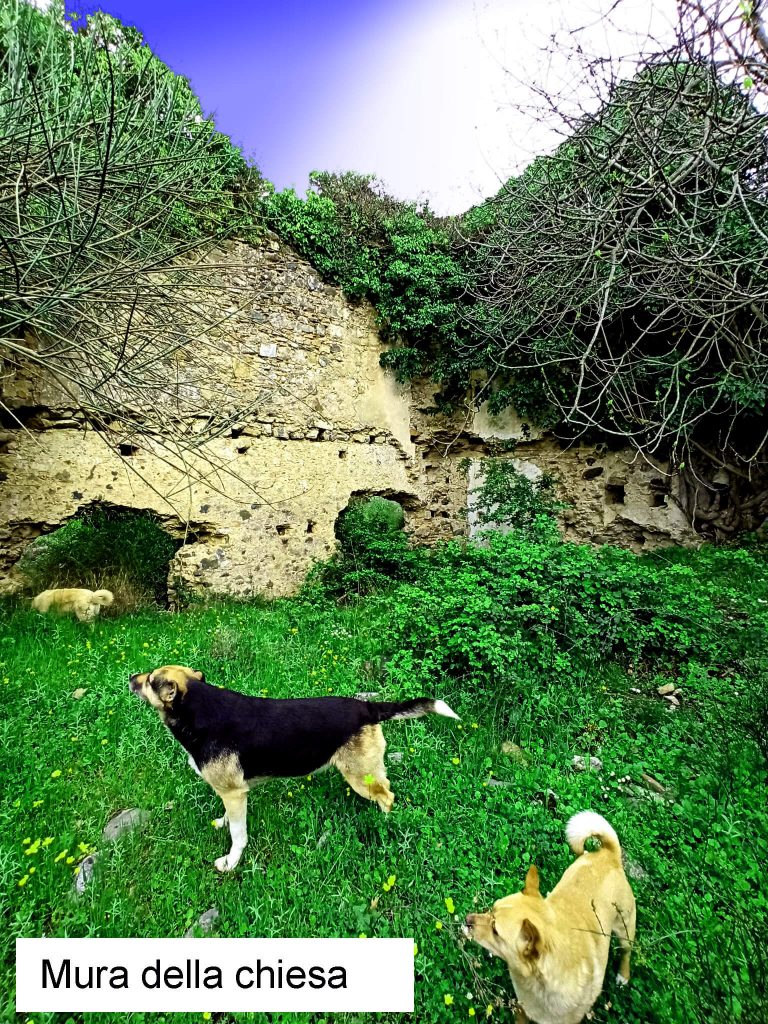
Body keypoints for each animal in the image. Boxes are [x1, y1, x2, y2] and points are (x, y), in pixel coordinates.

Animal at [129, 663, 460, 872]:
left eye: (150, 680)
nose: (131, 677)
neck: (200, 707)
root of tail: (367, 707)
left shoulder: (235, 794)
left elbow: (238, 835)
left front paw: (232, 862)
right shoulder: (230, 794)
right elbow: (228, 819)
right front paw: (222, 822)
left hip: (360, 776)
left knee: (387, 795)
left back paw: (384, 823)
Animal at [462, 811, 638, 1019]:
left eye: (496, 931)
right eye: (491, 909)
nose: (467, 920)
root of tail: (609, 854)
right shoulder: (523, 1009)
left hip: (625, 927)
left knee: (626, 950)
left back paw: (623, 975)